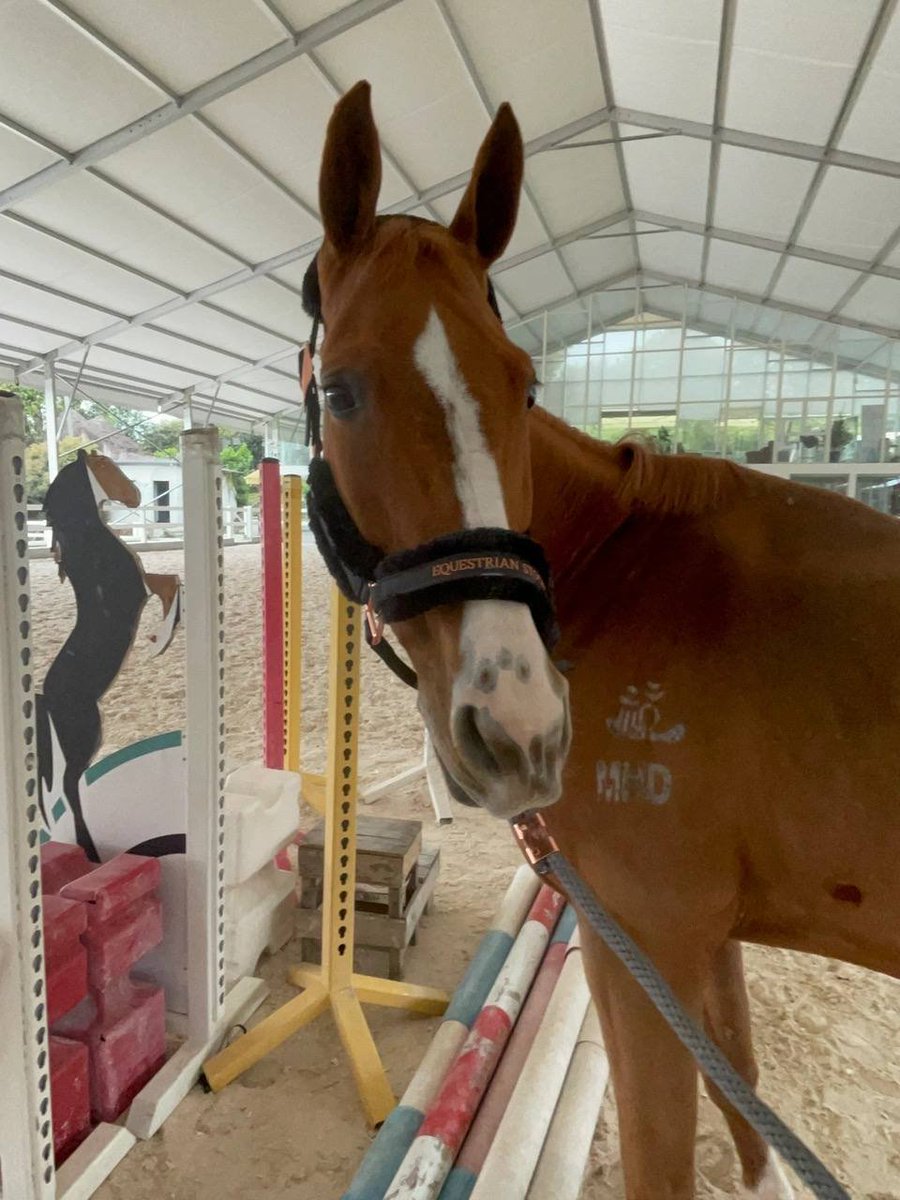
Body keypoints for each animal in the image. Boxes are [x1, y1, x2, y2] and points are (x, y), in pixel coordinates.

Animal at [38, 449, 181, 860]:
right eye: (103, 466)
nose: (135, 495)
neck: (92, 545)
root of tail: (47, 697)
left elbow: (173, 583)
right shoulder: (142, 588)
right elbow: (171, 584)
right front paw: (157, 641)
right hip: (86, 734)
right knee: (69, 786)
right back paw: (90, 850)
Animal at [305, 83, 900, 1198]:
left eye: (525, 384)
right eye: (339, 390)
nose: (521, 728)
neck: (623, 570)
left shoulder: (643, 938)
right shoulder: (697, 938)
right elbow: (743, 1099)